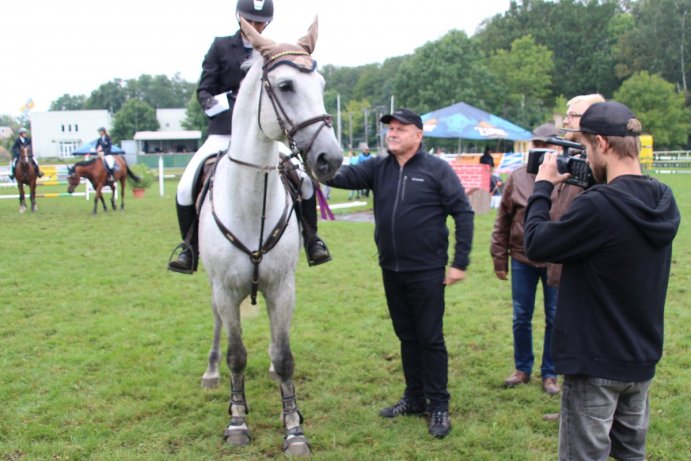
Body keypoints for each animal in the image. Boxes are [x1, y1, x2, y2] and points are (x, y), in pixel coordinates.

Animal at [197, 17, 344, 452]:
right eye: (285, 86)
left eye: (321, 83)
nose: (331, 159)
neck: (250, 204)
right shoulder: (226, 289)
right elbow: (236, 356)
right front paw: (236, 422)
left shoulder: (282, 287)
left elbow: (285, 356)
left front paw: (294, 427)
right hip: (214, 286)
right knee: (216, 324)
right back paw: (211, 373)